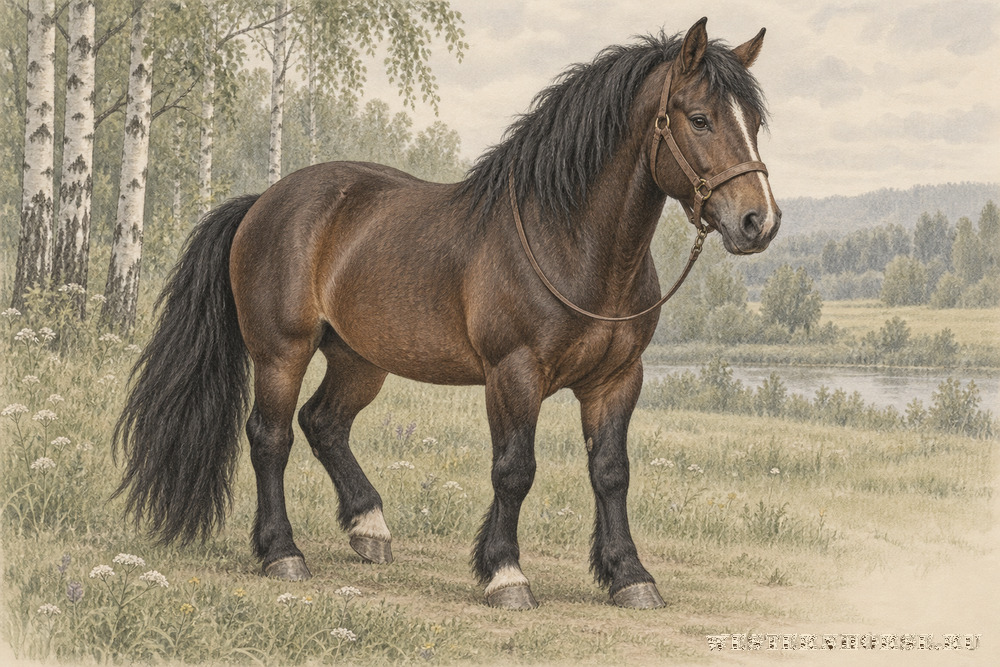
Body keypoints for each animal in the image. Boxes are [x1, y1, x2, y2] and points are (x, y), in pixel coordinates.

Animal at [114, 17, 779, 610]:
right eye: (700, 119)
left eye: (754, 124)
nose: (759, 222)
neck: (569, 239)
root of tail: (263, 202)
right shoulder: (514, 375)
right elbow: (514, 470)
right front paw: (506, 575)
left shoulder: (617, 380)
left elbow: (611, 472)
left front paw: (629, 575)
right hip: (281, 352)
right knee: (270, 437)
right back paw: (282, 552)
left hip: (360, 360)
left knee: (324, 423)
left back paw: (370, 527)